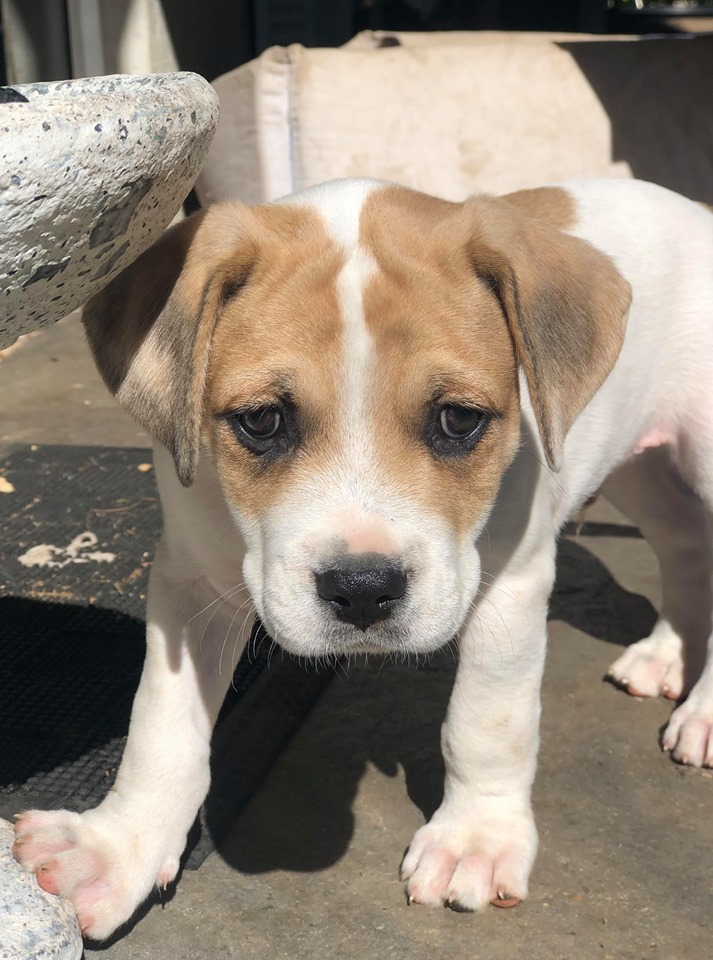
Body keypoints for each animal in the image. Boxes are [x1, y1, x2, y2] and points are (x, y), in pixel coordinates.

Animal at [12, 178, 713, 939]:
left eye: (458, 420)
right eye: (261, 421)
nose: (363, 589)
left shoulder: (510, 583)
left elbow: (486, 722)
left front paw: (476, 839)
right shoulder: (191, 582)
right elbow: (161, 728)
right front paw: (119, 848)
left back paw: (702, 711)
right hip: (641, 469)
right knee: (684, 542)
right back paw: (665, 655)